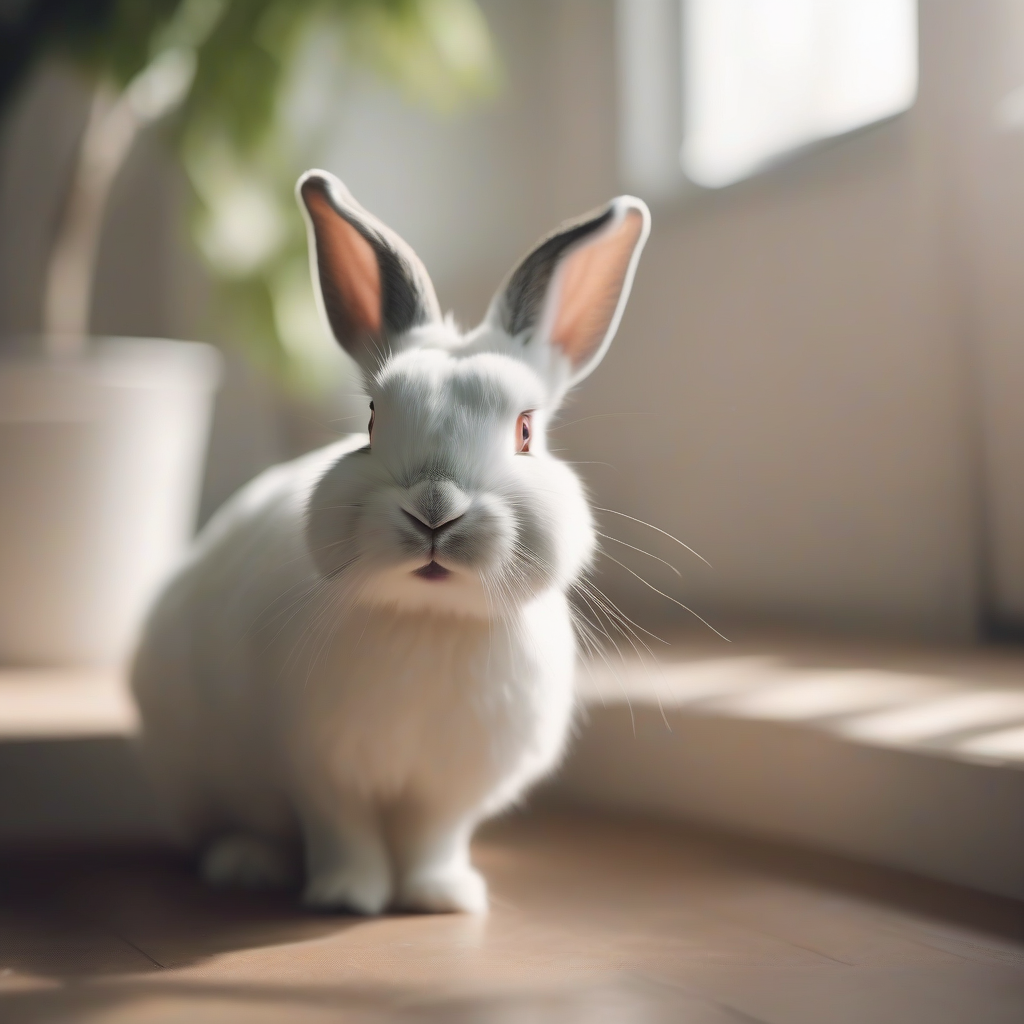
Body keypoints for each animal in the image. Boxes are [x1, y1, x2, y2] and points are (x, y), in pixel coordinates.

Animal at [131, 169, 650, 915]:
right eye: (373, 421)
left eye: (526, 431)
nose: (435, 512)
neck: (429, 620)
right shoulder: (319, 768)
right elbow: (344, 834)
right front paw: (348, 898)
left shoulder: (454, 788)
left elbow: (435, 839)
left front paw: (443, 897)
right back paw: (247, 864)